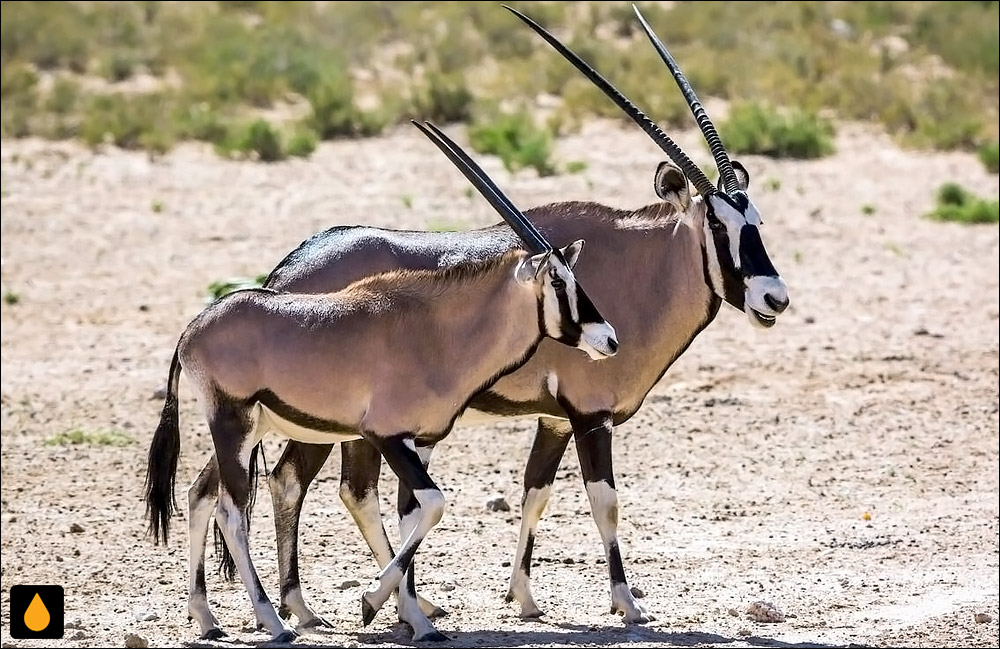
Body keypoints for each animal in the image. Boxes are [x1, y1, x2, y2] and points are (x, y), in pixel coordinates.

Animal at [143, 119, 616, 640]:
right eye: (557, 282)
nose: (609, 339)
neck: (437, 331)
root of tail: (193, 330)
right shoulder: (385, 435)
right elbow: (433, 504)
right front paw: (373, 602)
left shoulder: (417, 440)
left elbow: (414, 514)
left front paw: (417, 620)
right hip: (235, 425)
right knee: (231, 512)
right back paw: (273, 620)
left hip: (249, 430)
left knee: (200, 494)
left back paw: (208, 618)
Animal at [207, 3, 792, 644]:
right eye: (718, 225)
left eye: (757, 221)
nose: (775, 297)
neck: (636, 265)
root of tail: (292, 265)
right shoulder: (590, 416)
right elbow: (604, 501)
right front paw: (627, 604)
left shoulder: (554, 420)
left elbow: (535, 494)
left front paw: (524, 598)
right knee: (307, 483)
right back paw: (322, 605)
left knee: (316, 487)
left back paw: (354, 605)